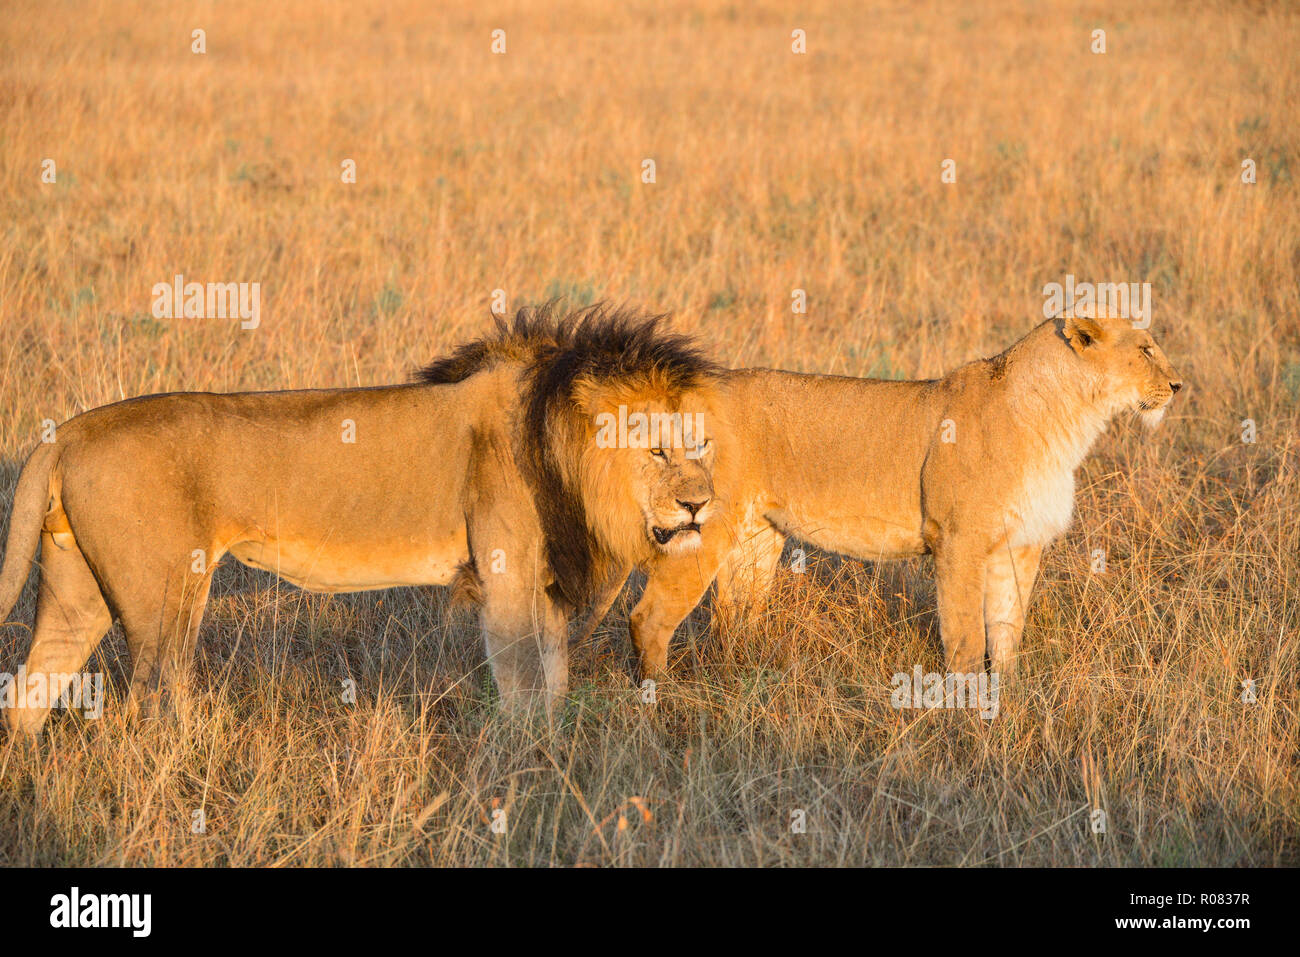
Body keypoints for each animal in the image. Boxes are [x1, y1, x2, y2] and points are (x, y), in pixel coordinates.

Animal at [0, 304, 722, 733]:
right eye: (657, 450)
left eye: (701, 444)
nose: (699, 503)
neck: (561, 446)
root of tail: (64, 433)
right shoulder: (506, 575)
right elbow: (521, 682)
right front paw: (523, 767)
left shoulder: (542, 584)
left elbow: (554, 679)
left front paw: (550, 747)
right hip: (165, 596)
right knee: (148, 700)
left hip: (77, 590)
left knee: (30, 694)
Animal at [603, 314, 1185, 681]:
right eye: (1145, 350)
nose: (1179, 386)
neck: (1069, 421)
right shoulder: (959, 540)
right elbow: (966, 635)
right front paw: (969, 708)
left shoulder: (1020, 545)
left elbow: (1007, 630)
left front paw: (1011, 697)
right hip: (700, 529)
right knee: (648, 618)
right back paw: (660, 700)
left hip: (757, 538)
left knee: (733, 618)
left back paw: (743, 676)